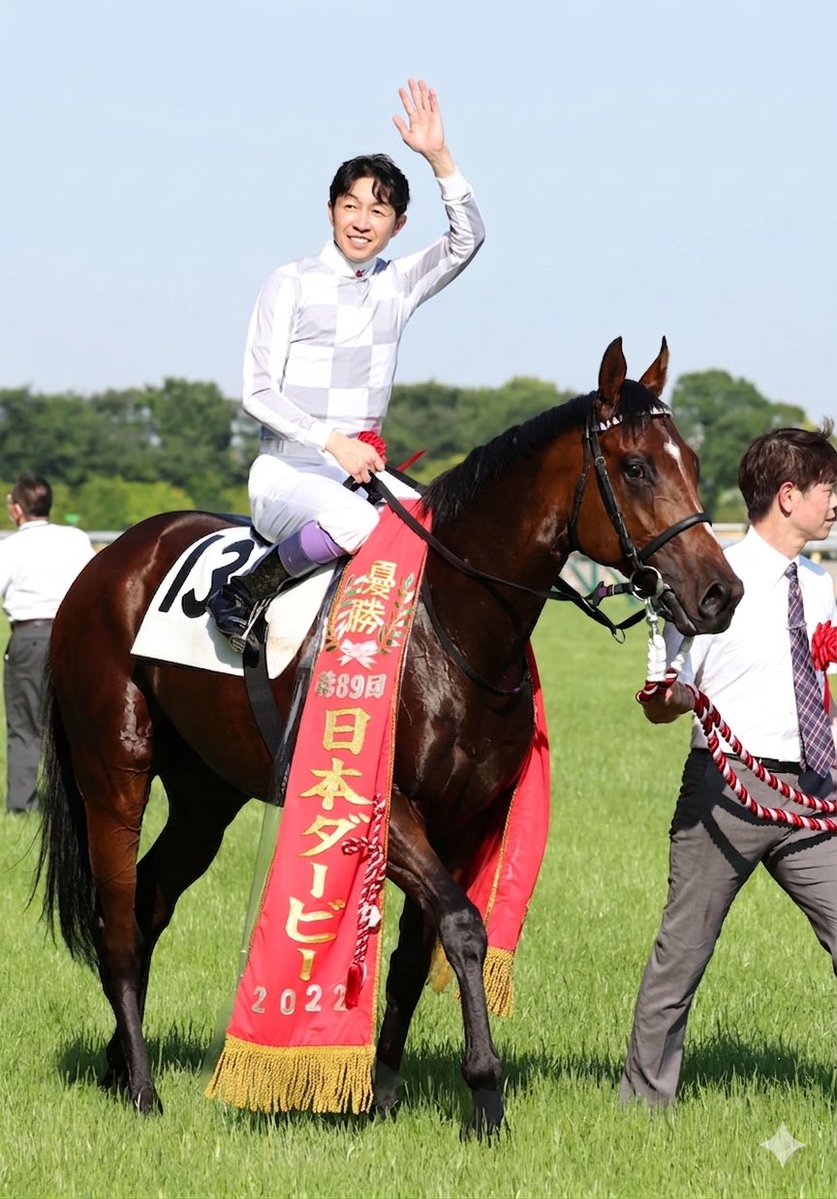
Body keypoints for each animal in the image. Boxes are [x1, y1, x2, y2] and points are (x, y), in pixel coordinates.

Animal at [37, 337, 743, 1136]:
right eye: (636, 466)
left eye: (691, 458)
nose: (720, 593)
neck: (447, 621)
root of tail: (105, 563)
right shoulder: (388, 809)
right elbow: (463, 926)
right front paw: (484, 1094)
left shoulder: (462, 818)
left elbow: (412, 953)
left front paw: (383, 1088)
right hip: (113, 772)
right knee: (119, 920)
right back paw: (142, 1088)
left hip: (205, 796)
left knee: (152, 899)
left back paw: (116, 1060)